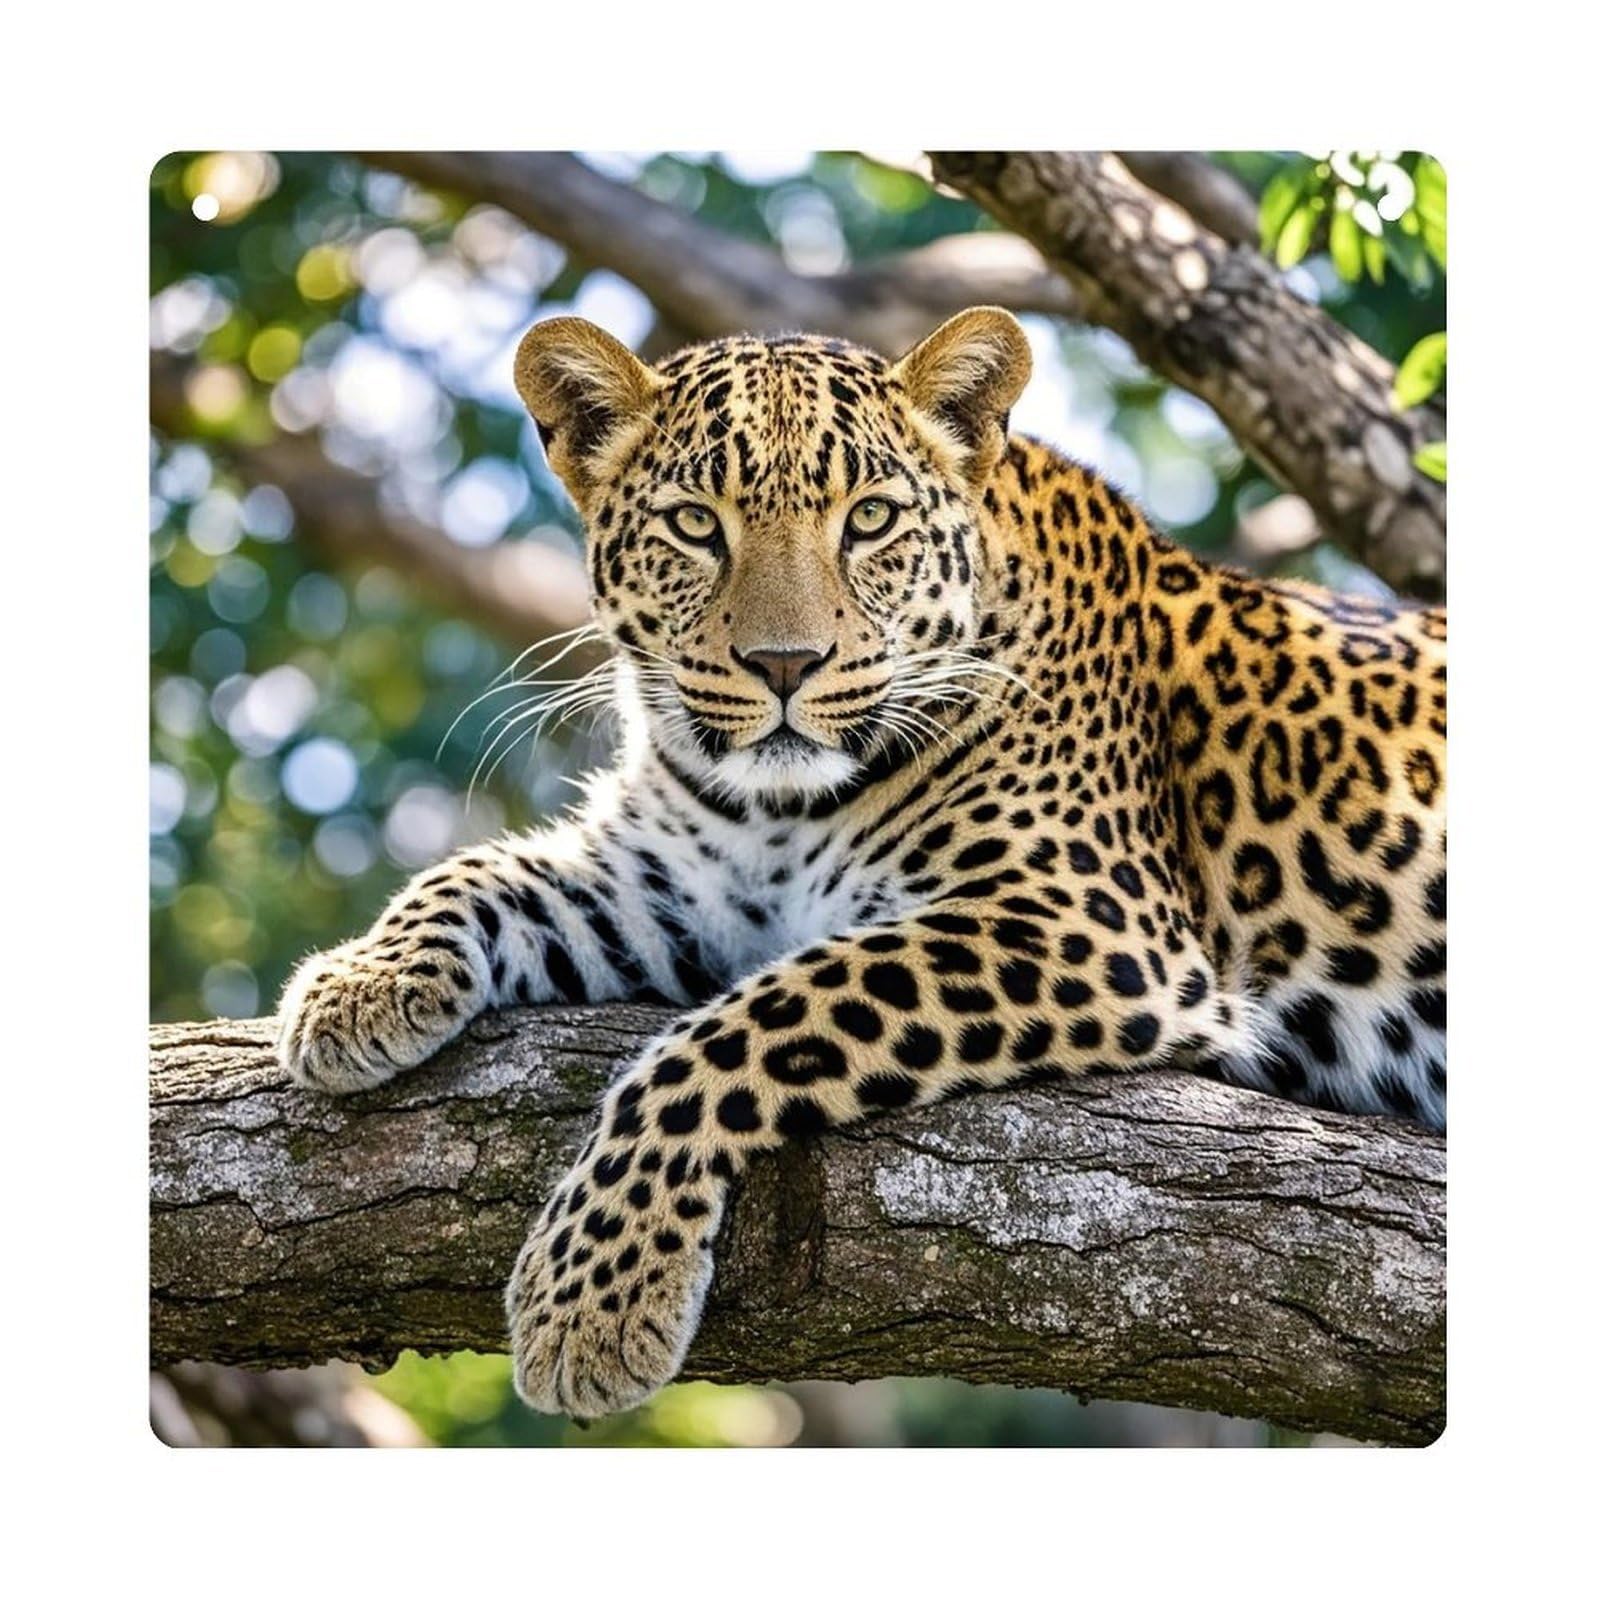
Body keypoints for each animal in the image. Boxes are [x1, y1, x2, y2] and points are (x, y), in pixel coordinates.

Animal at [278, 306, 1447, 1420]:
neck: (779, 808)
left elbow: (738, 1032)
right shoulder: (670, 891)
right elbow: (479, 872)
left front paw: (594, 1299)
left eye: (870, 519)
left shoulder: (1085, 925)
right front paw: (355, 985)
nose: (784, 665)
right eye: (696, 526)